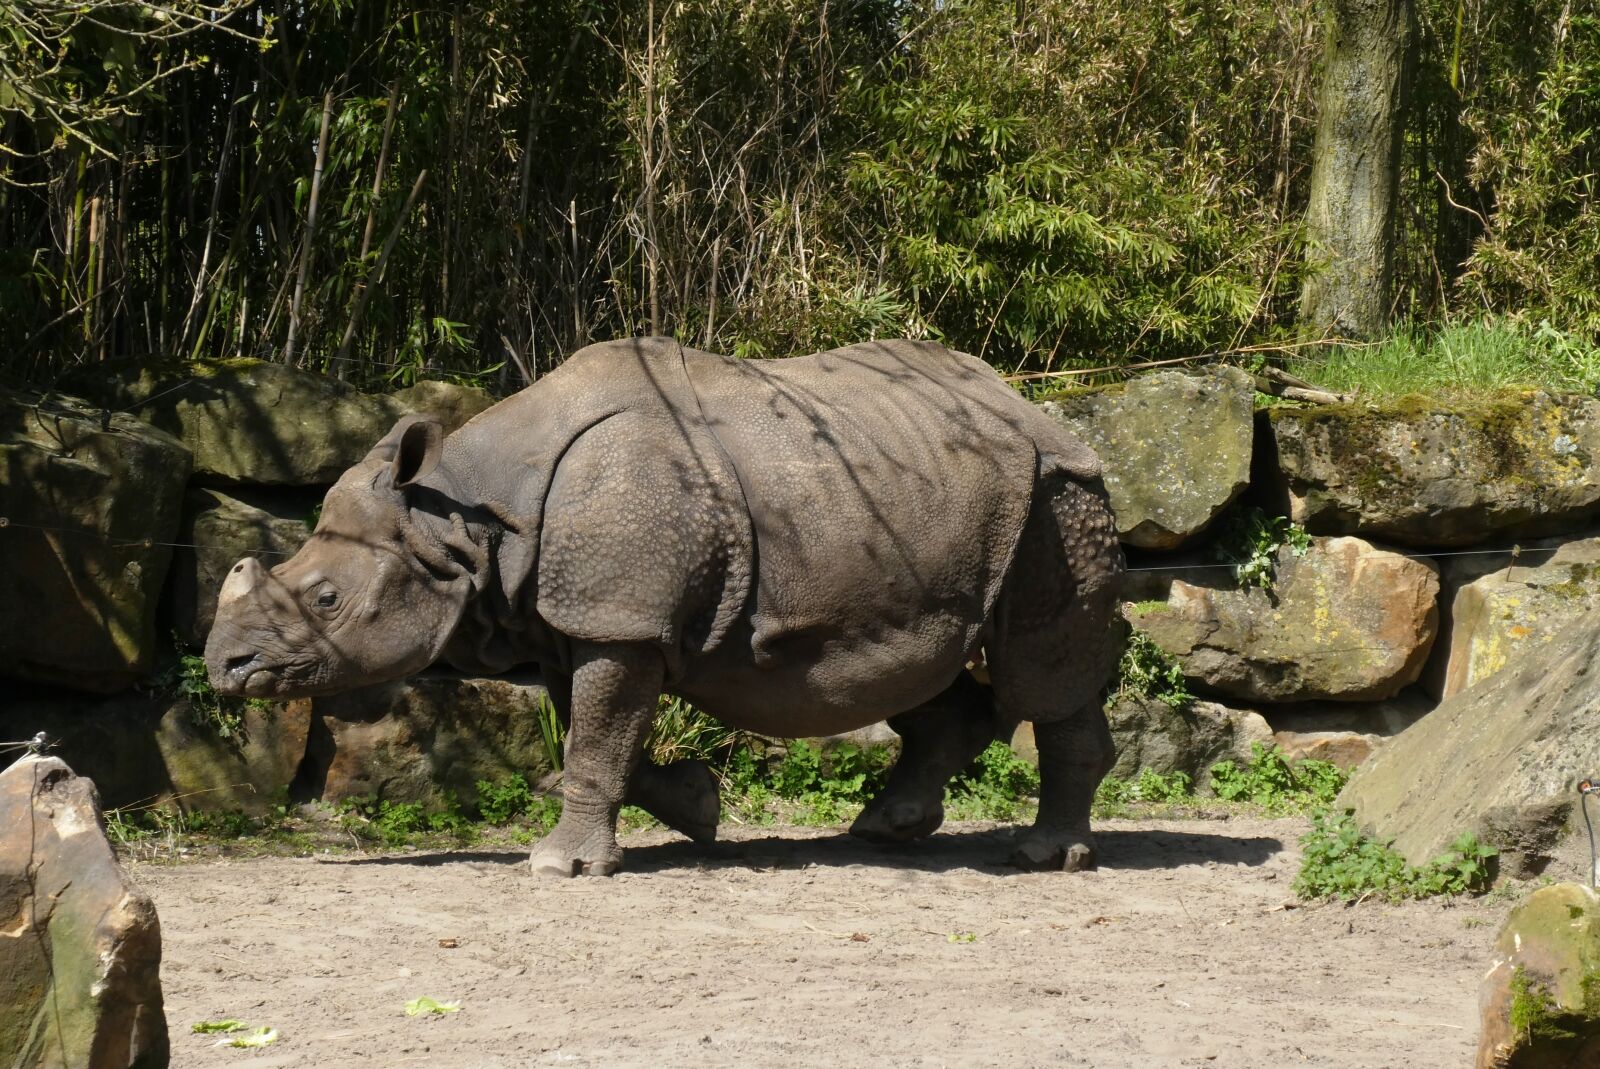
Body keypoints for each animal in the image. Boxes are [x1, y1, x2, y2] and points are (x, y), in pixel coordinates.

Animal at [206, 338, 1125, 876]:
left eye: (327, 597)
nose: (224, 666)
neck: (462, 518)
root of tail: (1033, 404)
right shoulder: (577, 618)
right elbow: (598, 734)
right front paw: (698, 808)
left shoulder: (617, 617)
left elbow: (596, 737)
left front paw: (558, 868)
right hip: (934, 494)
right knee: (930, 659)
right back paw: (885, 829)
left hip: (1058, 493)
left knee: (1045, 668)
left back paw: (1045, 856)